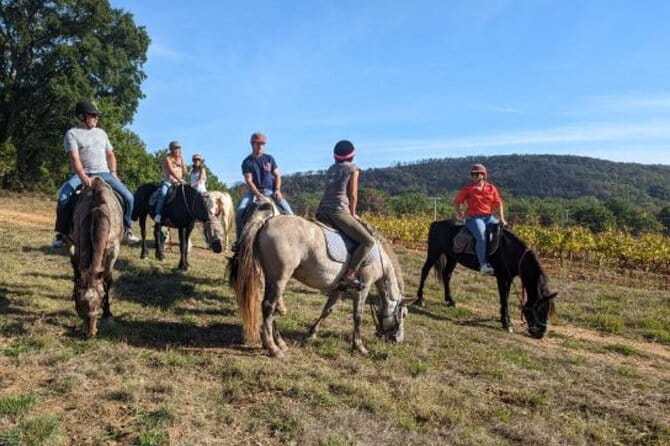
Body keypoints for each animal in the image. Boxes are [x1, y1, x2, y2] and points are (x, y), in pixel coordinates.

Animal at [68, 177, 123, 337]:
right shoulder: (78, 245)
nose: (90, 332)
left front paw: (108, 314)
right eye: (80, 300)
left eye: (102, 296)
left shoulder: (113, 249)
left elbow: (108, 279)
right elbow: (78, 273)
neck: (96, 212)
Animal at [230, 200, 411, 357]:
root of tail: (267, 222)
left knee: (271, 308)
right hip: (279, 277)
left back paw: (279, 342)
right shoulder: (363, 287)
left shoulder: (339, 287)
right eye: (403, 315)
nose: (397, 340)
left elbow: (327, 310)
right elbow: (357, 316)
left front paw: (312, 334)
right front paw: (359, 347)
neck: (380, 258)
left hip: (270, 277)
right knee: (268, 306)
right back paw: (273, 348)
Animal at [415, 220, 557, 339]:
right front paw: (507, 323)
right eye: (540, 309)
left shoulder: (508, 277)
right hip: (434, 252)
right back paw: (420, 299)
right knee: (425, 271)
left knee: (446, 275)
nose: (541, 333)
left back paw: (450, 300)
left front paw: (504, 319)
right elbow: (504, 299)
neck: (510, 250)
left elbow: (505, 298)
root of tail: (435, 223)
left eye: (547, 309)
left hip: (452, 258)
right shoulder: (501, 277)